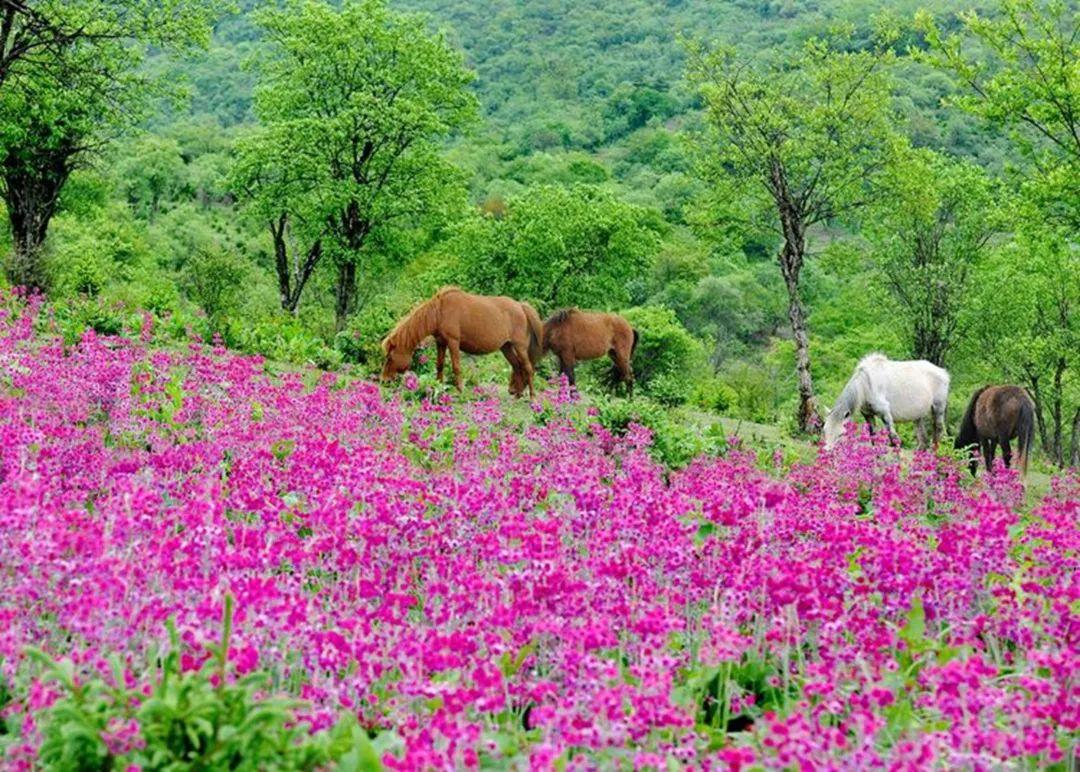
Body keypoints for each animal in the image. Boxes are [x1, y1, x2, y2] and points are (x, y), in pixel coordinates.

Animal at [384, 289, 544, 399]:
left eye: (389, 358)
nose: (383, 380)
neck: (440, 312)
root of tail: (520, 306)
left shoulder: (453, 342)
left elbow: (456, 367)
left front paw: (460, 390)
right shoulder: (441, 342)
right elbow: (440, 365)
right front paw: (438, 385)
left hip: (519, 347)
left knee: (528, 368)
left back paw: (532, 397)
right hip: (506, 347)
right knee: (517, 366)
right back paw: (517, 394)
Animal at [820, 354, 950, 455]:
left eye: (841, 434)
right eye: (824, 430)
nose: (828, 451)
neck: (865, 385)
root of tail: (943, 373)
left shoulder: (885, 413)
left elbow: (894, 440)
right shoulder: (868, 415)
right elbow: (873, 438)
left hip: (938, 408)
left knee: (939, 431)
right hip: (918, 416)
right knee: (923, 439)